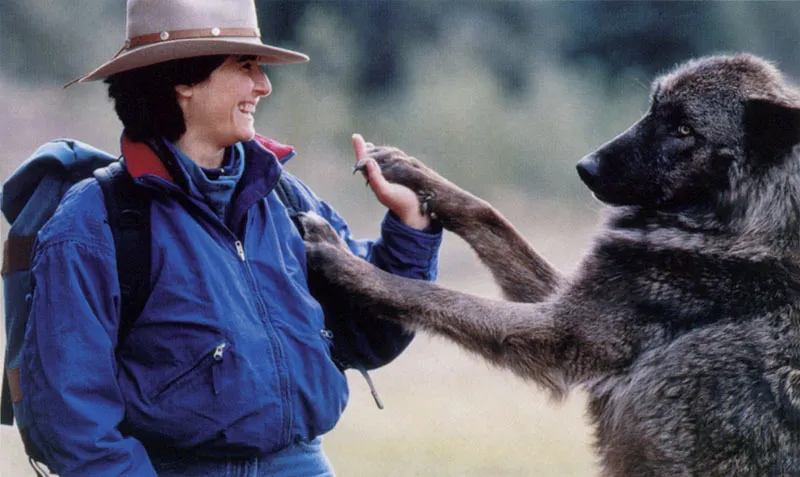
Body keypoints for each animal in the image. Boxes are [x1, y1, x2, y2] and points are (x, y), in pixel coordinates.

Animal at [296, 54, 800, 474]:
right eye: (654, 111)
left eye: (684, 130)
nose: (585, 168)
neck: (740, 224)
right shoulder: (562, 298)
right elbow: (488, 215)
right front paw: (411, 172)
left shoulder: (560, 332)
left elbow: (431, 295)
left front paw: (341, 261)